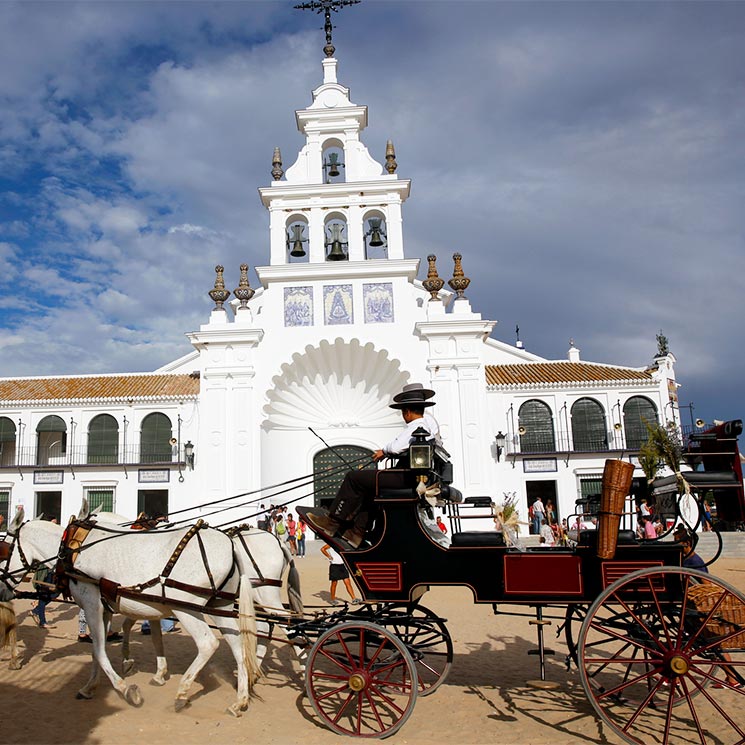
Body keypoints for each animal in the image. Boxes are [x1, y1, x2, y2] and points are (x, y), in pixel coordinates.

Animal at [2, 506, 258, 716]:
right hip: (219, 605)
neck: (73, 549)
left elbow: (100, 650)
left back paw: (182, 692)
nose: (2, 589)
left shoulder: (91, 603)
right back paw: (240, 701)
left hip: (186, 607)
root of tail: (231, 545)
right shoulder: (104, 608)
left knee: (208, 644)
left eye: (2, 551)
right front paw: (89, 687)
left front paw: (126, 689)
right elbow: (98, 649)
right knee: (238, 645)